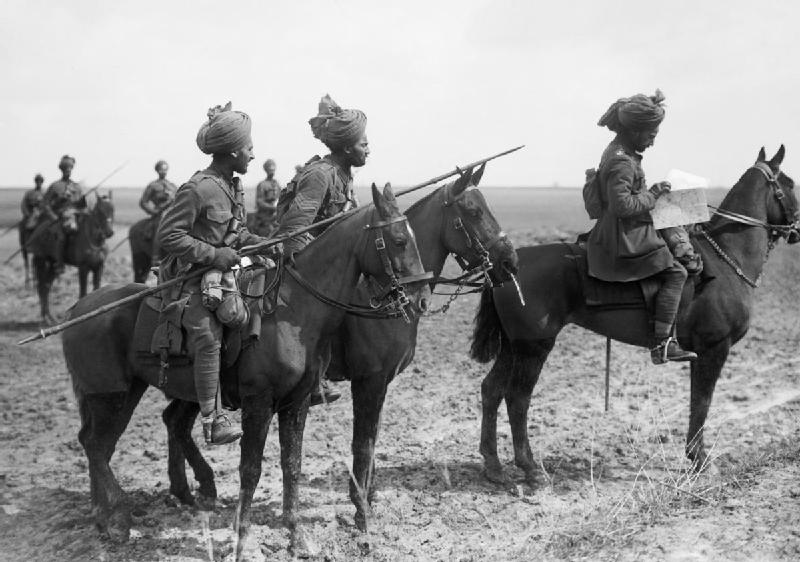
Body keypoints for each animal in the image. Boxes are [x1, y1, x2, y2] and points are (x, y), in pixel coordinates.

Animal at [30, 194, 114, 322]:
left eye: (113, 210)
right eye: (99, 212)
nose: (109, 232)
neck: (94, 241)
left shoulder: (99, 267)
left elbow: (97, 288)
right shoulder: (83, 268)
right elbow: (83, 292)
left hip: (52, 266)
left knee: (46, 287)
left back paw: (50, 318)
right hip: (42, 262)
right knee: (42, 287)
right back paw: (46, 319)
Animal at [61, 184, 432, 556]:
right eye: (399, 239)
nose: (421, 298)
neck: (293, 311)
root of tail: (77, 307)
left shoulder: (297, 403)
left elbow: (292, 464)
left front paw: (296, 535)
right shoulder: (262, 402)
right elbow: (252, 468)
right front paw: (243, 538)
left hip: (128, 394)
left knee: (107, 442)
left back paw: (109, 514)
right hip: (111, 397)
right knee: (96, 446)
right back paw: (118, 519)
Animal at [468, 145, 800, 482]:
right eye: (790, 183)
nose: (797, 229)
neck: (725, 258)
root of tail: (505, 268)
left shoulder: (704, 353)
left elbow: (697, 401)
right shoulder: (714, 349)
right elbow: (702, 402)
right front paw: (700, 459)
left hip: (513, 346)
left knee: (492, 390)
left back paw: (494, 466)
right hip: (533, 348)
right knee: (517, 399)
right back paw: (531, 468)